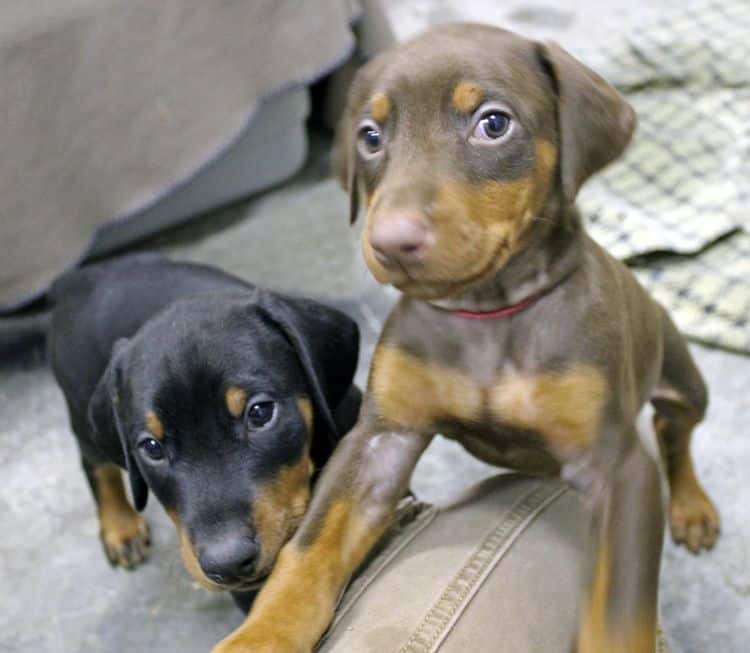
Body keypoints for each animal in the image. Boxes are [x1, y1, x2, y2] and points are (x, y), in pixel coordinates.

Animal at [47, 252, 362, 608]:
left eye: (260, 413)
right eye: (152, 447)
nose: (227, 563)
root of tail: (76, 281)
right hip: (80, 407)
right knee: (95, 465)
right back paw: (120, 527)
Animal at [214, 21, 720, 652]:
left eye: (493, 124)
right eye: (370, 136)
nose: (390, 241)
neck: (488, 313)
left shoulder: (616, 466)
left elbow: (619, 613)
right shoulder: (381, 438)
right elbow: (308, 549)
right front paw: (261, 634)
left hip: (681, 377)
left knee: (676, 431)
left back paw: (692, 507)